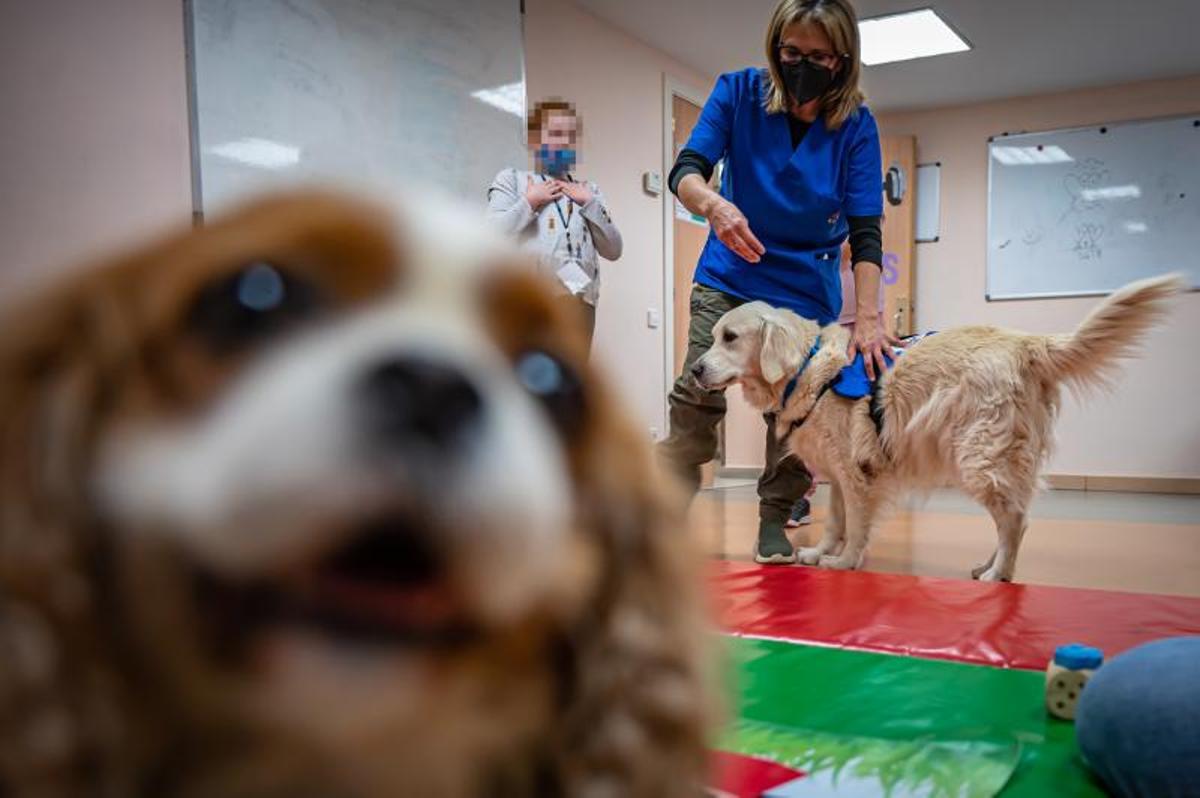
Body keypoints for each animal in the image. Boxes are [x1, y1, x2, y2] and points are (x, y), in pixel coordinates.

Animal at [696, 277, 1180, 583]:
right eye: (715, 335)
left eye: (730, 337)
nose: (697, 369)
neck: (808, 369)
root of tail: (1026, 344)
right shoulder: (838, 472)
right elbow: (836, 520)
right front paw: (820, 553)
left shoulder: (856, 472)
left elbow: (856, 524)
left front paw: (845, 562)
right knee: (1013, 517)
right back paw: (987, 565)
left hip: (979, 455)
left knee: (1015, 521)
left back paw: (998, 574)